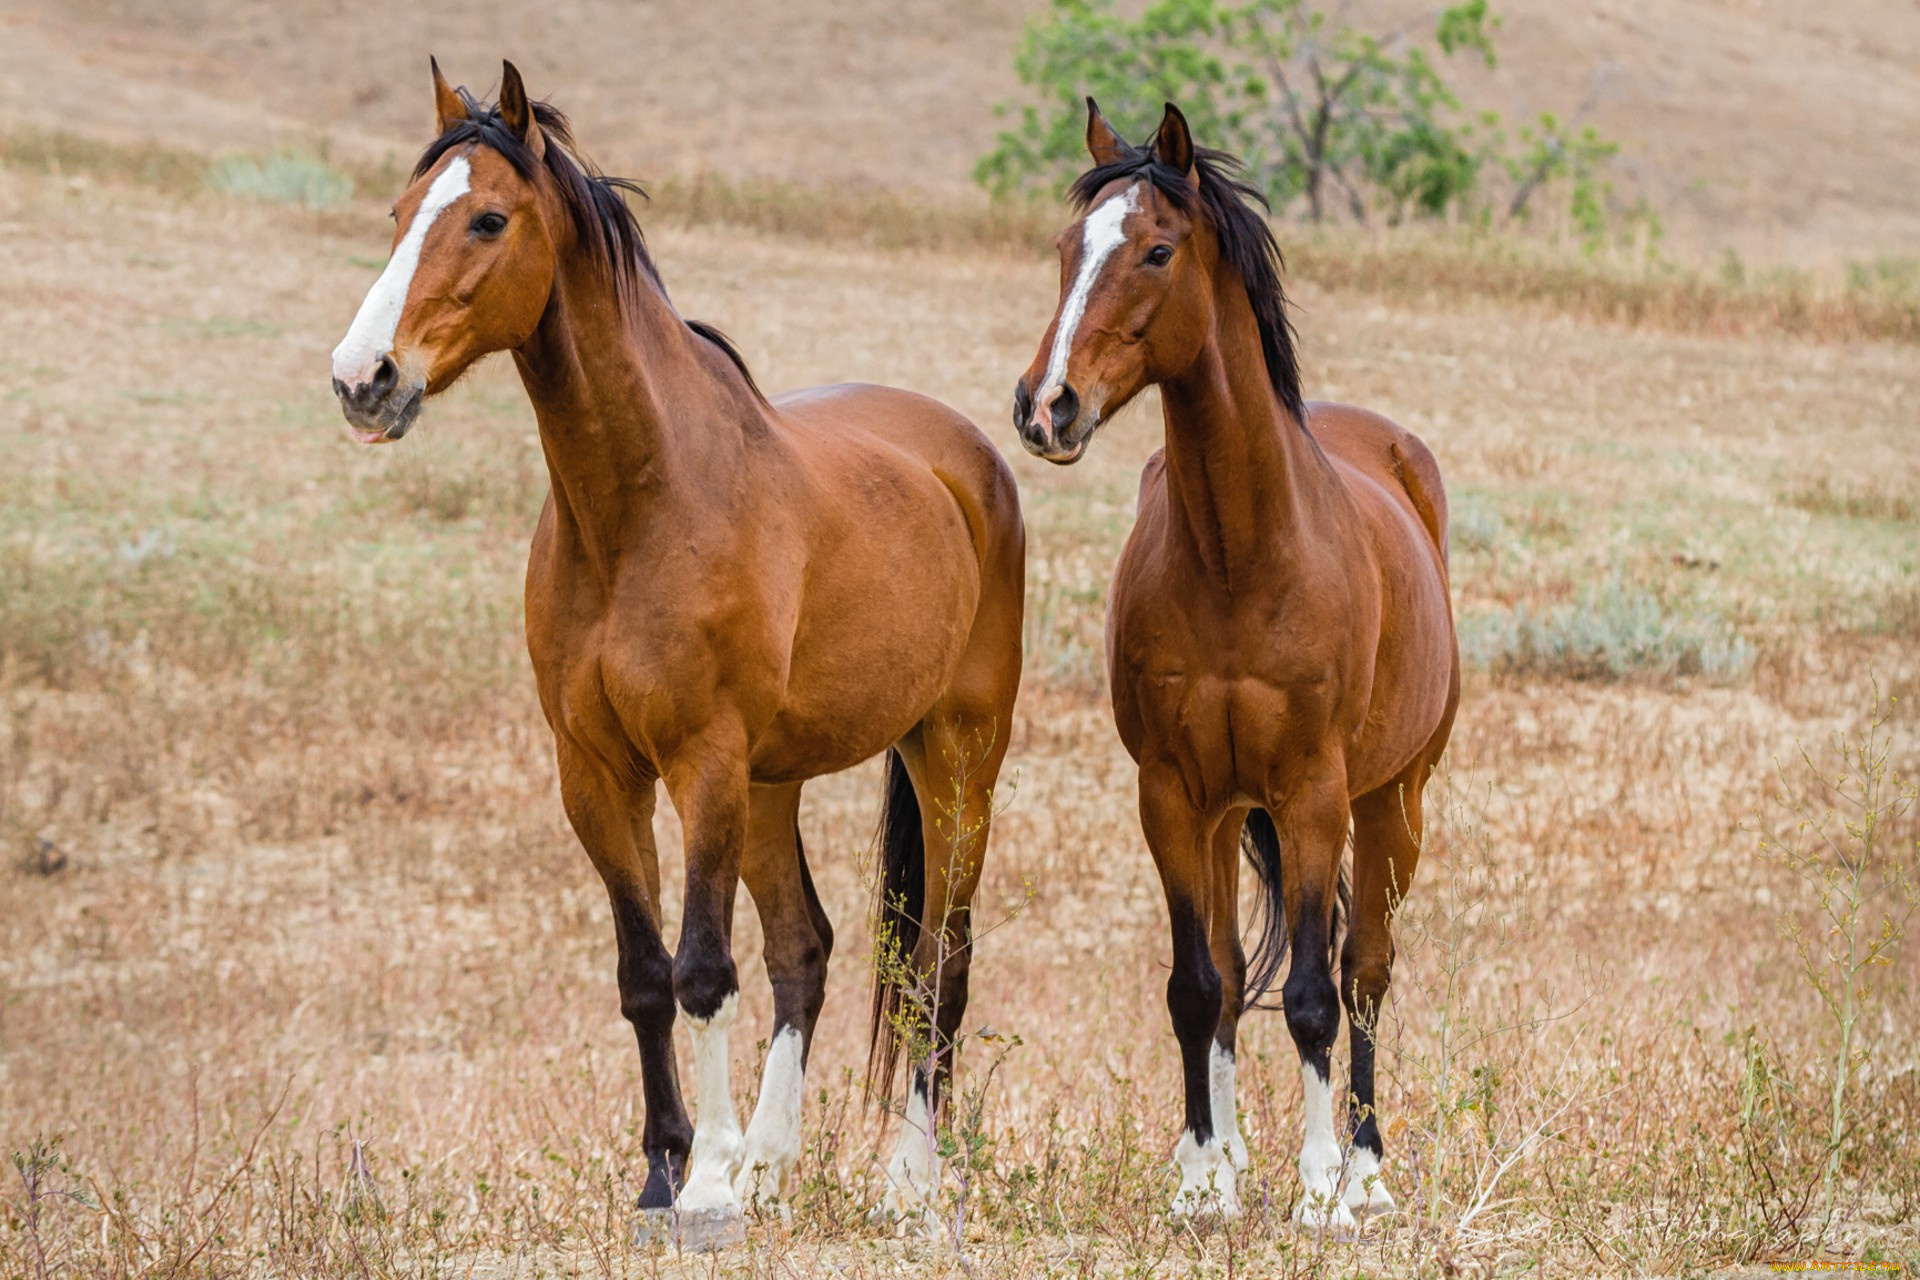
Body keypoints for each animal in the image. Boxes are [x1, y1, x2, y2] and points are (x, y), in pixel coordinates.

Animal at [332, 59, 1029, 1228]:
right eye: (397, 213)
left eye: (487, 218)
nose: (363, 379)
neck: (642, 506)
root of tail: (968, 457)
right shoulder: (597, 772)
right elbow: (645, 974)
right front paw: (669, 1170)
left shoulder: (701, 759)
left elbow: (703, 971)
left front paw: (704, 1184)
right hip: (773, 785)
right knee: (806, 947)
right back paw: (774, 1163)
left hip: (954, 756)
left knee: (941, 955)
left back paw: (907, 1179)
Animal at [1021, 100, 1451, 1228]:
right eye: (1066, 250)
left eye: (1157, 251)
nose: (1046, 407)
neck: (1239, 555)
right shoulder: (1173, 793)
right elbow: (1197, 984)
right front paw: (1203, 1178)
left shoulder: (1312, 795)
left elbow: (1310, 994)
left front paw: (1322, 1190)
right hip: (1224, 815)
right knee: (1223, 970)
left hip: (1393, 801)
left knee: (1365, 970)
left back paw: (1368, 1169)